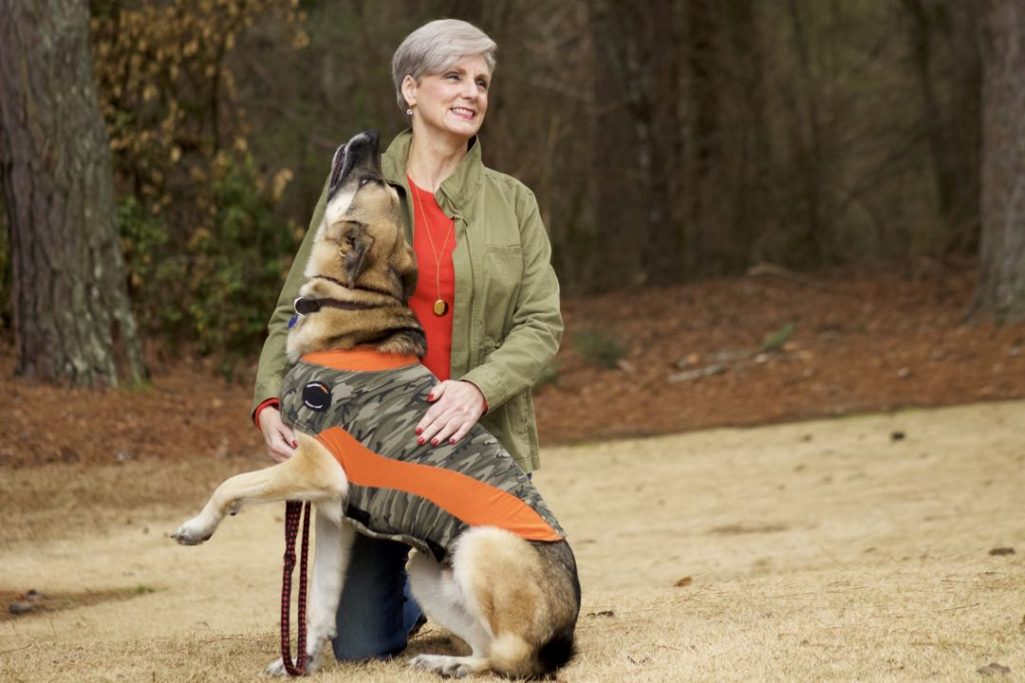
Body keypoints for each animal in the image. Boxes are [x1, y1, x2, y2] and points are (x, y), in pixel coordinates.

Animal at [172, 129, 582, 676]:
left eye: (368, 181)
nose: (369, 135)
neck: (353, 299)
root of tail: (564, 635)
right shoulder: (330, 512)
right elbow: (319, 598)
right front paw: (303, 659)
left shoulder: (313, 469)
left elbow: (230, 483)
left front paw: (196, 527)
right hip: (426, 569)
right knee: (486, 644)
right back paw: (440, 659)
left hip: (477, 547)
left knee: (510, 657)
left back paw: (455, 665)